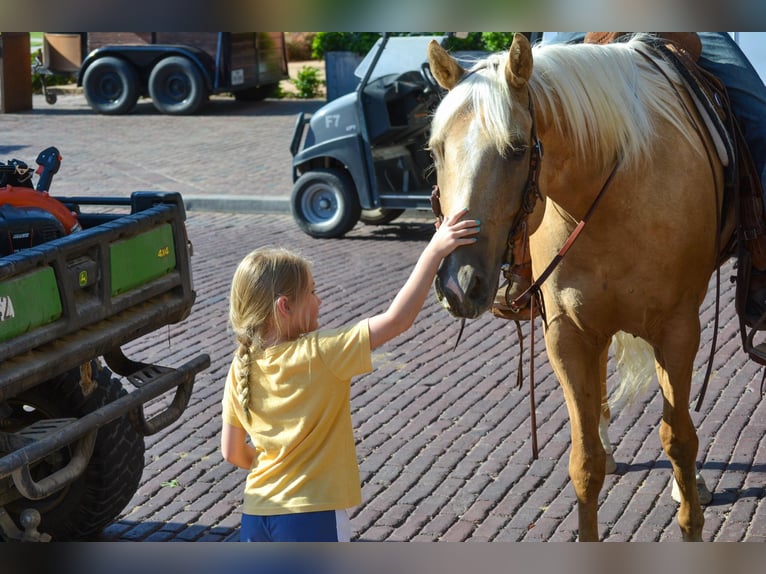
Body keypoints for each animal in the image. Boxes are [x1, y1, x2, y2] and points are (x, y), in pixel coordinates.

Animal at [426, 33, 732, 544]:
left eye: (516, 148)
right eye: (436, 150)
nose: (457, 281)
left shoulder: (679, 331)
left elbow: (679, 439)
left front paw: (691, 520)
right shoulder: (566, 334)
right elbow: (584, 462)